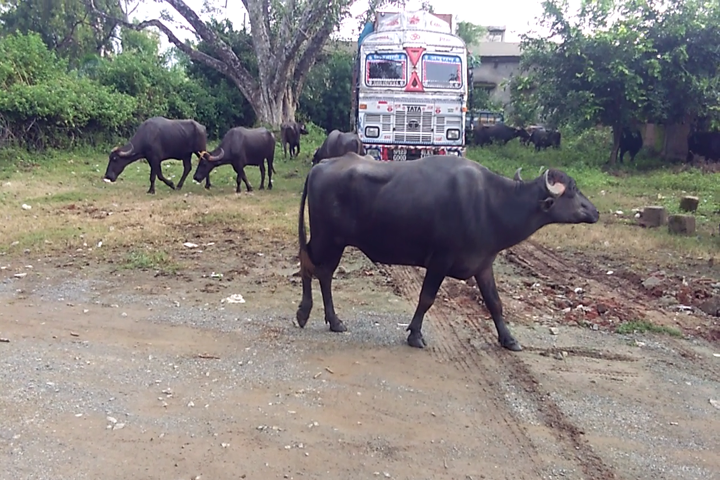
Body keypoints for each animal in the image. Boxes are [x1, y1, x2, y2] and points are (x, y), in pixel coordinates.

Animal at [296, 152, 600, 350]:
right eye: (573, 190)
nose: (595, 212)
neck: (491, 204)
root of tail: (321, 165)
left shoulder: (483, 263)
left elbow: (495, 303)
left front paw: (509, 339)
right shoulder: (440, 261)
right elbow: (426, 298)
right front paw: (415, 335)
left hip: (334, 242)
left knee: (322, 272)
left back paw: (332, 320)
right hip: (328, 239)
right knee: (311, 265)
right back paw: (307, 314)